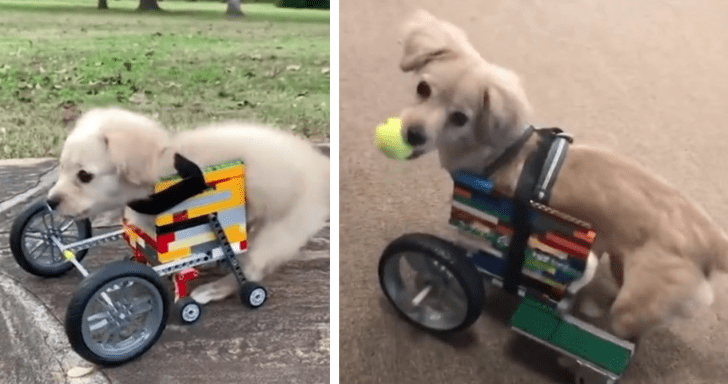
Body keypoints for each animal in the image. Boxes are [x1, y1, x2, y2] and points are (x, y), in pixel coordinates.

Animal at [47, 109, 328, 306]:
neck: (165, 167)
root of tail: (319, 166)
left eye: (85, 176)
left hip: (281, 229)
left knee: (251, 267)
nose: (50, 202)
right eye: (61, 167)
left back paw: (214, 289)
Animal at [398, 9, 728, 340]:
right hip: (621, 263)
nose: (412, 134)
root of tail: (711, 239)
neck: (502, 150)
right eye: (423, 88)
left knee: (627, 331)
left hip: (633, 306)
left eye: (460, 118)